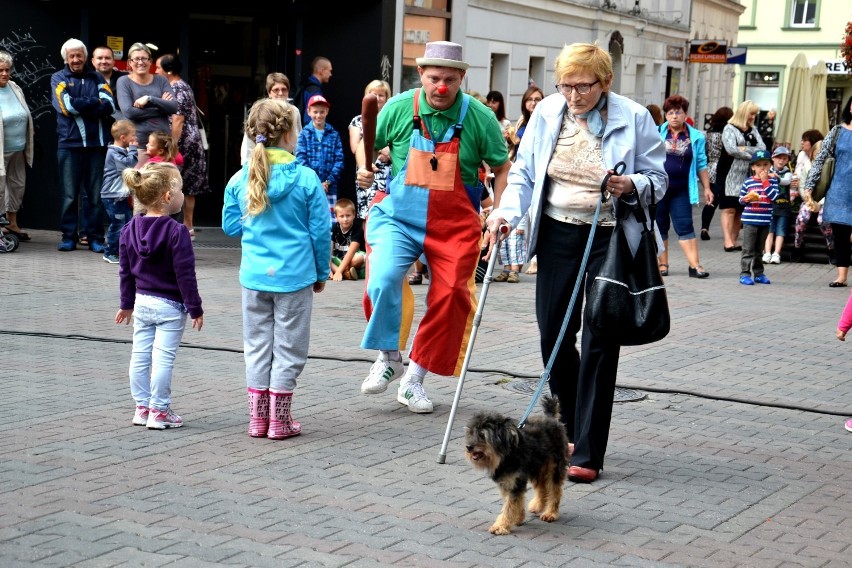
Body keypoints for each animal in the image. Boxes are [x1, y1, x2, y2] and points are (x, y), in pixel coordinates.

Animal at [466, 398, 564, 536]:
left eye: (483, 435)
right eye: (471, 432)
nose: (468, 447)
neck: (506, 455)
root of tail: (551, 418)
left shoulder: (514, 482)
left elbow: (509, 506)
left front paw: (500, 526)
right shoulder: (507, 482)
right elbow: (515, 502)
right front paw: (518, 517)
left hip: (554, 467)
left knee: (555, 490)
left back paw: (551, 513)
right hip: (537, 468)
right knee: (542, 488)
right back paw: (538, 505)